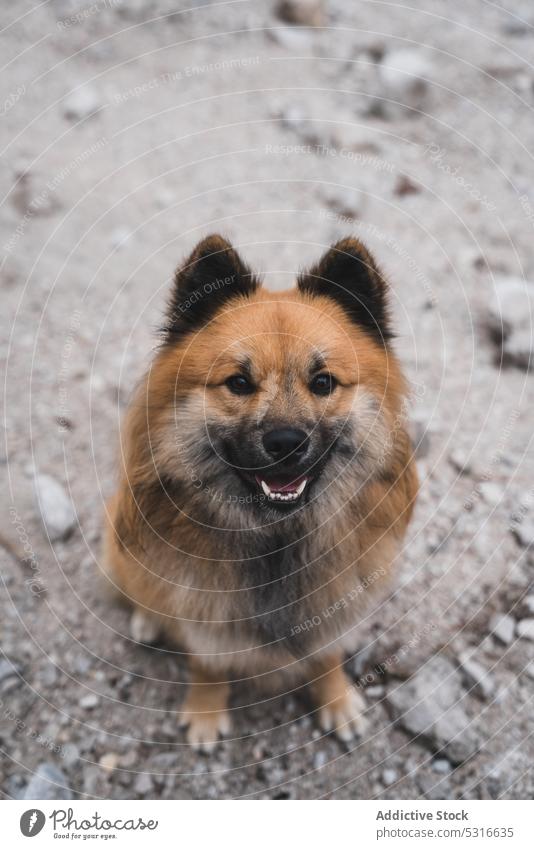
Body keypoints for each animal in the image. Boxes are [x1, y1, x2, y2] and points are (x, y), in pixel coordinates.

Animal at [103, 234, 418, 748]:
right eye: (239, 383)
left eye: (323, 382)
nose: (286, 442)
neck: (277, 539)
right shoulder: (204, 613)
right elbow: (208, 665)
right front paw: (206, 712)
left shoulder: (336, 600)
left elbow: (326, 653)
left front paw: (336, 699)